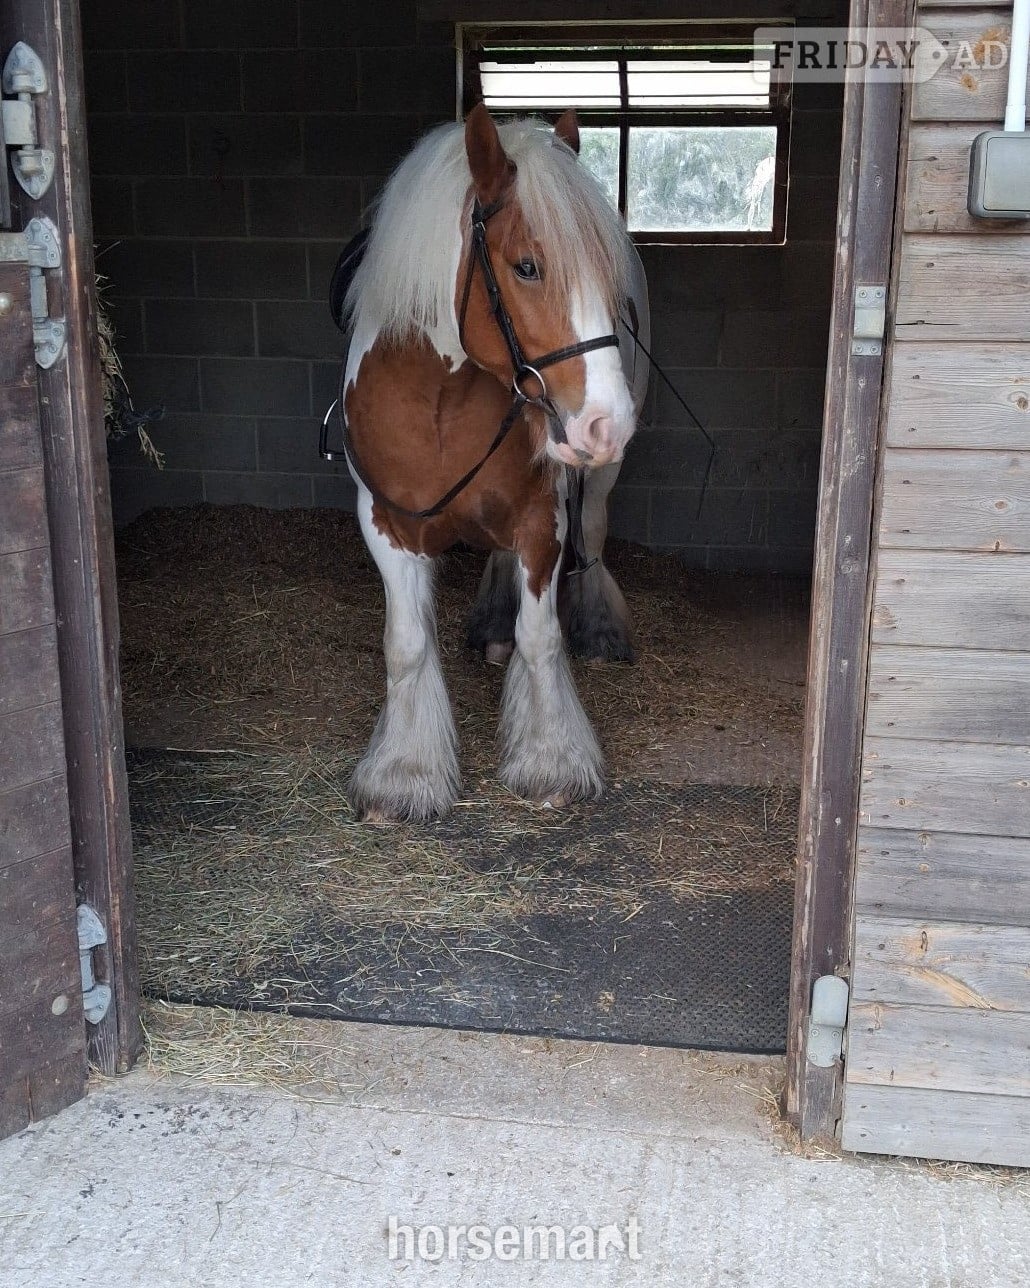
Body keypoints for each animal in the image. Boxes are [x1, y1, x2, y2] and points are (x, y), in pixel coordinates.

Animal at [339, 104, 649, 822]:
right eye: (527, 266)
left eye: (607, 272)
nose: (608, 422)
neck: (442, 400)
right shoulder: (386, 523)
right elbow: (406, 645)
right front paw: (402, 774)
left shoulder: (542, 519)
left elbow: (542, 638)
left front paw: (551, 761)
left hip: (593, 486)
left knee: (593, 534)